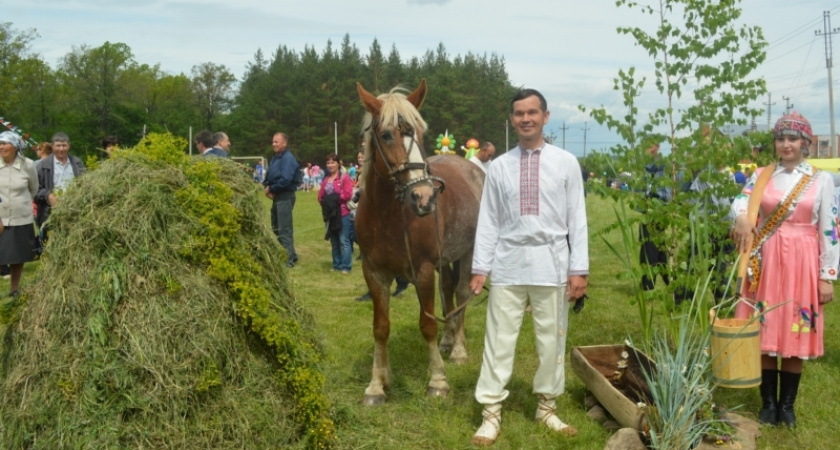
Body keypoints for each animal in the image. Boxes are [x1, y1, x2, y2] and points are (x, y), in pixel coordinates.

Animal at [356, 79, 486, 406]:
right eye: (386, 135)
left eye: (420, 133)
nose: (424, 197)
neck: (387, 216)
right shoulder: (374, 272)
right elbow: (380, 328)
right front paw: (377, 384)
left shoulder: (423, 270)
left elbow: (427, 324)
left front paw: (437, 381)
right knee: (448, 289)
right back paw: (448, 340)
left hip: (468, 251)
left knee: (462, 291)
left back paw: (458, 349)